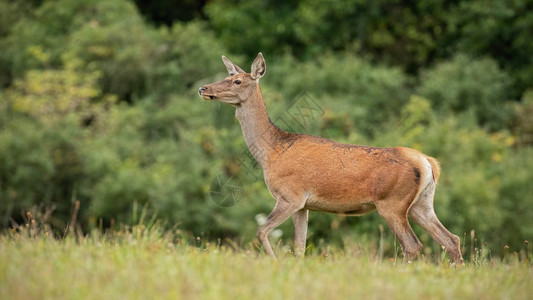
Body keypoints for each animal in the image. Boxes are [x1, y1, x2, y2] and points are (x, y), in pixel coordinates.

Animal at [197, 52, 464, 264]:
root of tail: (429, 163)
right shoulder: (303, 205)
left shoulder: (290, 195)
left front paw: (273, 262)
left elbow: (261, 231)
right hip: (422, 203)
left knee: (413, 245)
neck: (272, 152)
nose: (203, 88)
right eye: (227, 76)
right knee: (451, 239)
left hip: (392, 202)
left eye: (237, 80)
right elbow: (299, 247)